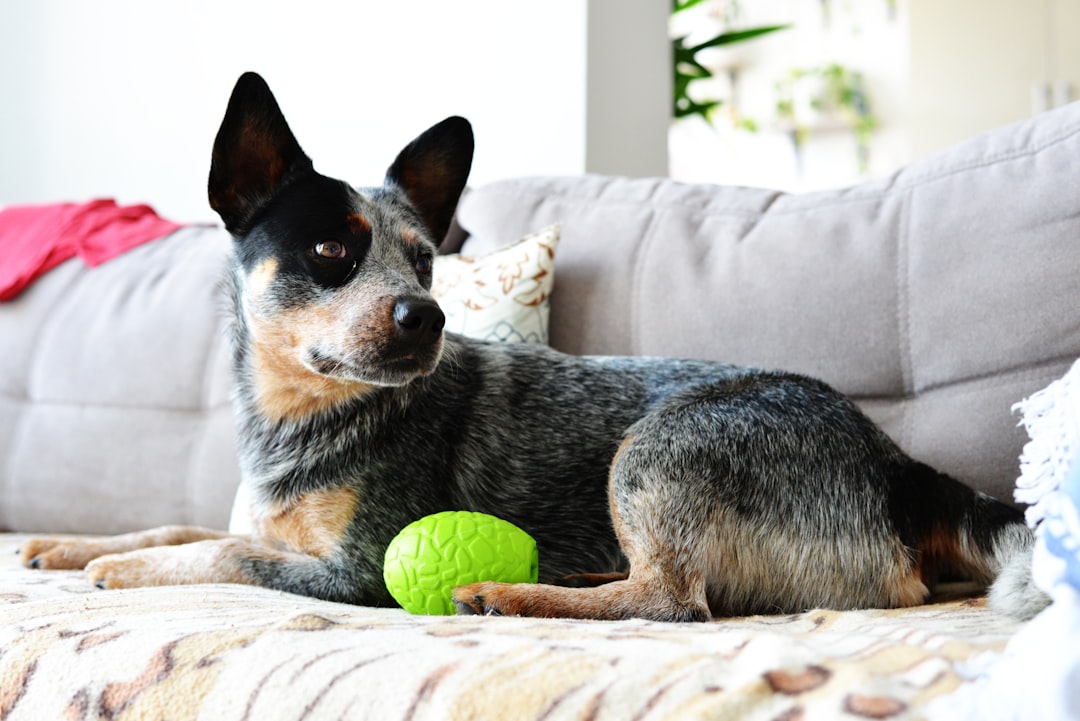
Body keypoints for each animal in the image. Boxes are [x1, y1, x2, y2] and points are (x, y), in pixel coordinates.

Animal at [14, 74, 1045, 626]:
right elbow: (183, 526)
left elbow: (224, 552)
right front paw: (76, 543)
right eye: (332, 251)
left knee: (674, 600)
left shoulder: (354, 572)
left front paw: (121, 571)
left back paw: (508, 592)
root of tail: (899, 466)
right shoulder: (269, 521)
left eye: (424, 260)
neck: (300, 416)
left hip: (663, 446)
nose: (424, 316)